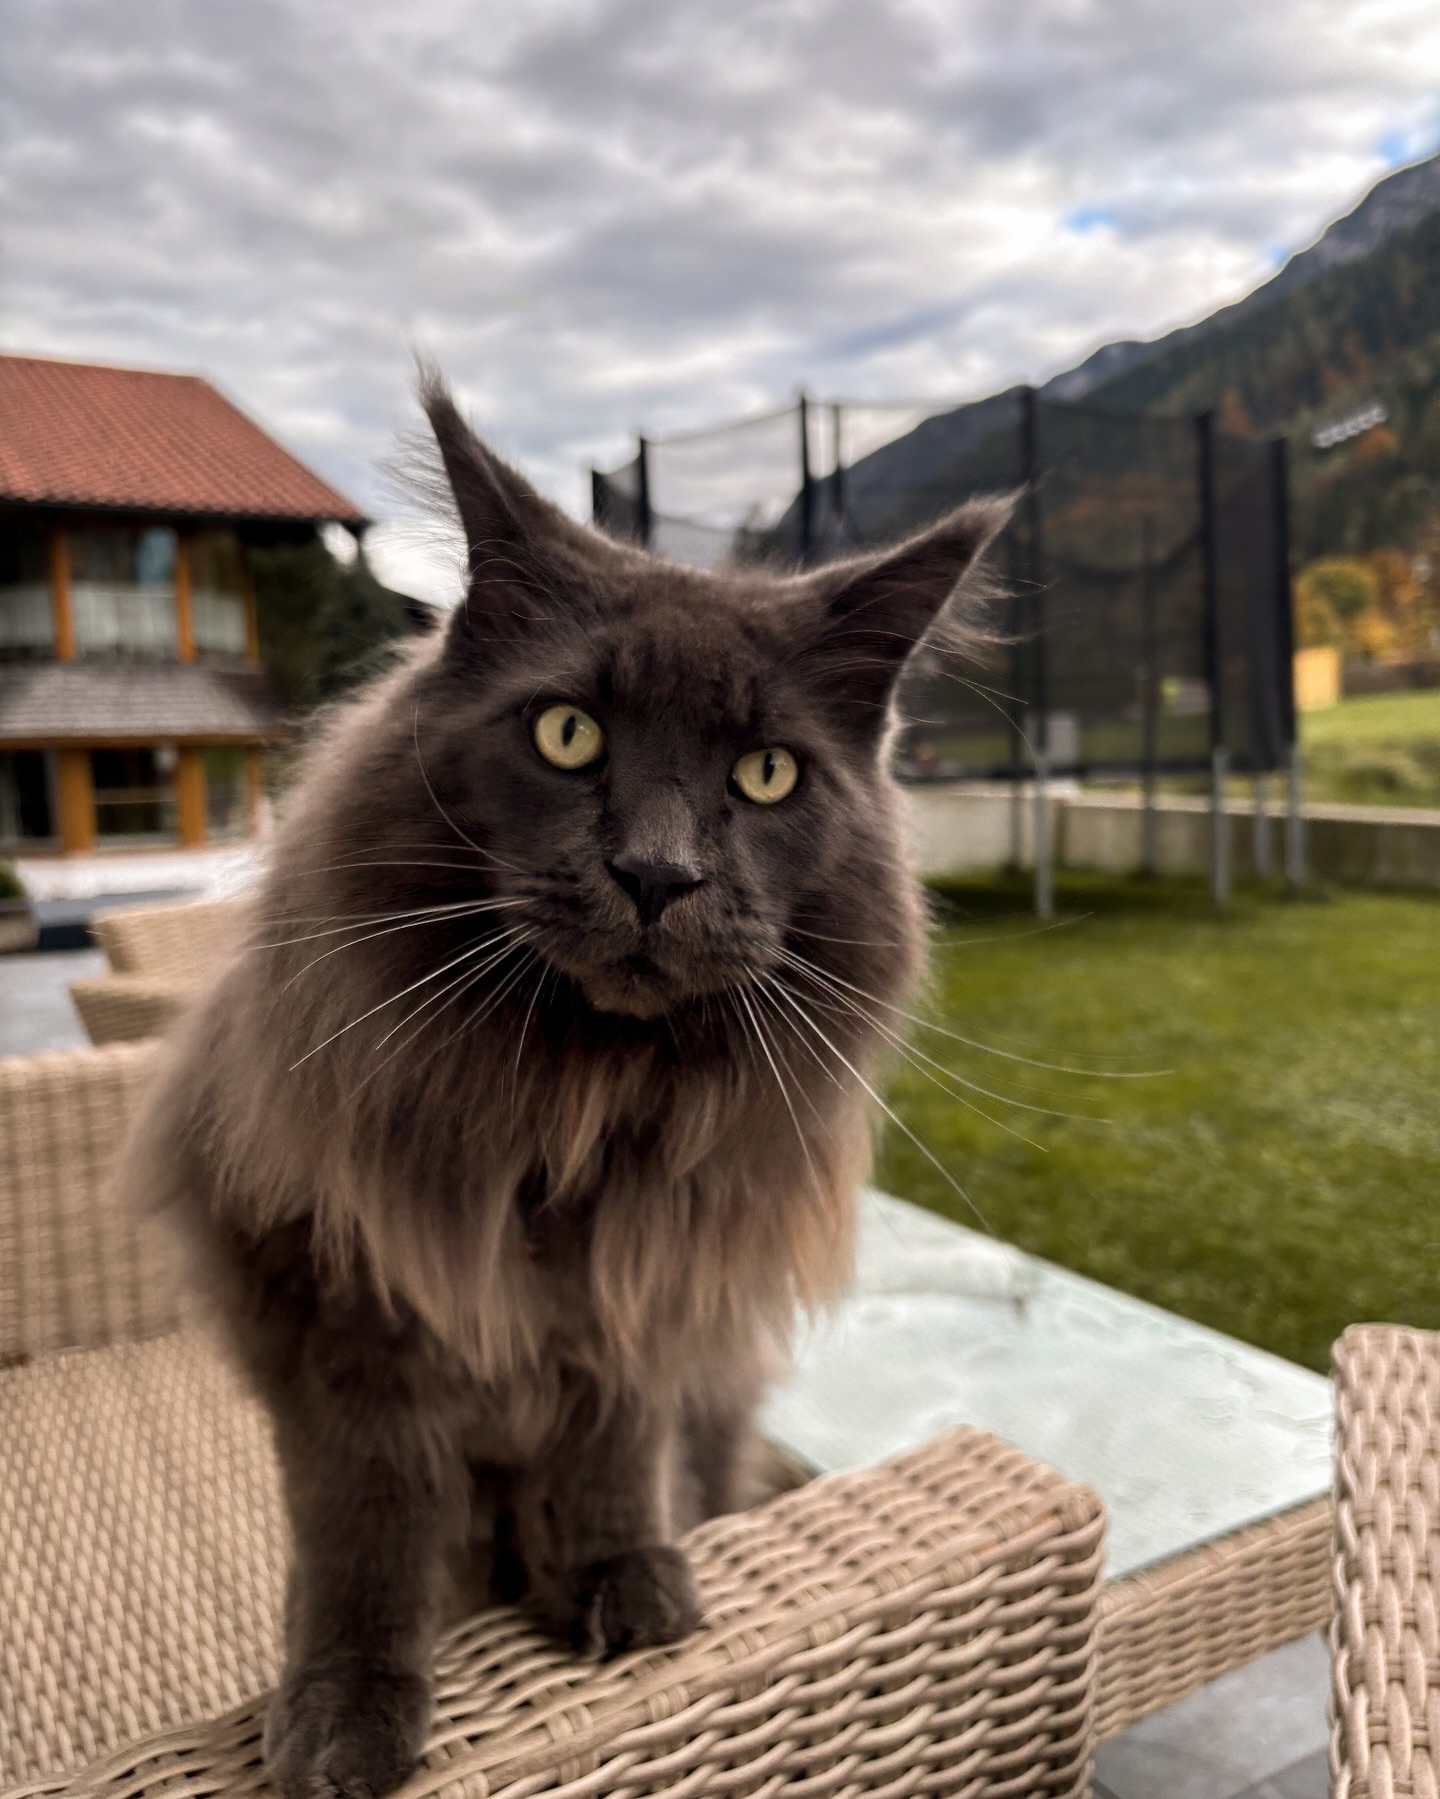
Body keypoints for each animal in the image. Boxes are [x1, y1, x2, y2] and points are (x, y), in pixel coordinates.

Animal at [120, 379, 1000, 1799]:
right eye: (568, 733)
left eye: (767, 773)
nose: (656, 872)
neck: (572, 1104)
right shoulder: (338, 1315)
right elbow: (368, 1533)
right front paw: (346, 1712)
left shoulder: (641, 1282)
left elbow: (615, 1447)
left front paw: (621, 1578)